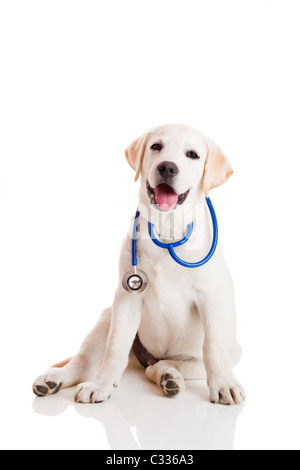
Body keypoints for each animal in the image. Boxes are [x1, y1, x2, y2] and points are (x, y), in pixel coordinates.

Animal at [32, 124, 245, 404]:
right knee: (85, 360)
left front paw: (223, 384)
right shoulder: (126, 298)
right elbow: (115, 347)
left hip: (209, 358)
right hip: (107, 316)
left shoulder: (211, 297)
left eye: (193, 155)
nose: (167, 167)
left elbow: (213, 345)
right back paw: (54, 379)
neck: (167, 231)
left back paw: (169, 378)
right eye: (156, 146)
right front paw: (101, 384)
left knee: (160, 366)